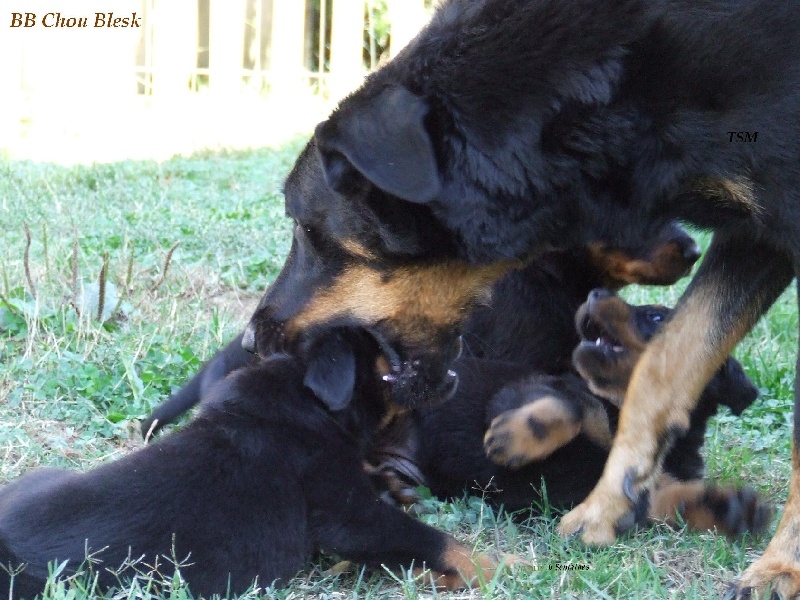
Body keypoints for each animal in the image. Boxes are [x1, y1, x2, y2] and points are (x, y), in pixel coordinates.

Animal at [0, 328, 516, 600]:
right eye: (392, 351)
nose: (461, 338)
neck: (310, 400)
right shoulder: (350, 515)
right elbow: (436, 542)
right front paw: (502, 564)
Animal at [242, 0, 800, 592]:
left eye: (306, 229)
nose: (251, 340)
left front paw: (778, 563)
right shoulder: (756, 231)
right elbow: (660, 367)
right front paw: (604, 507)